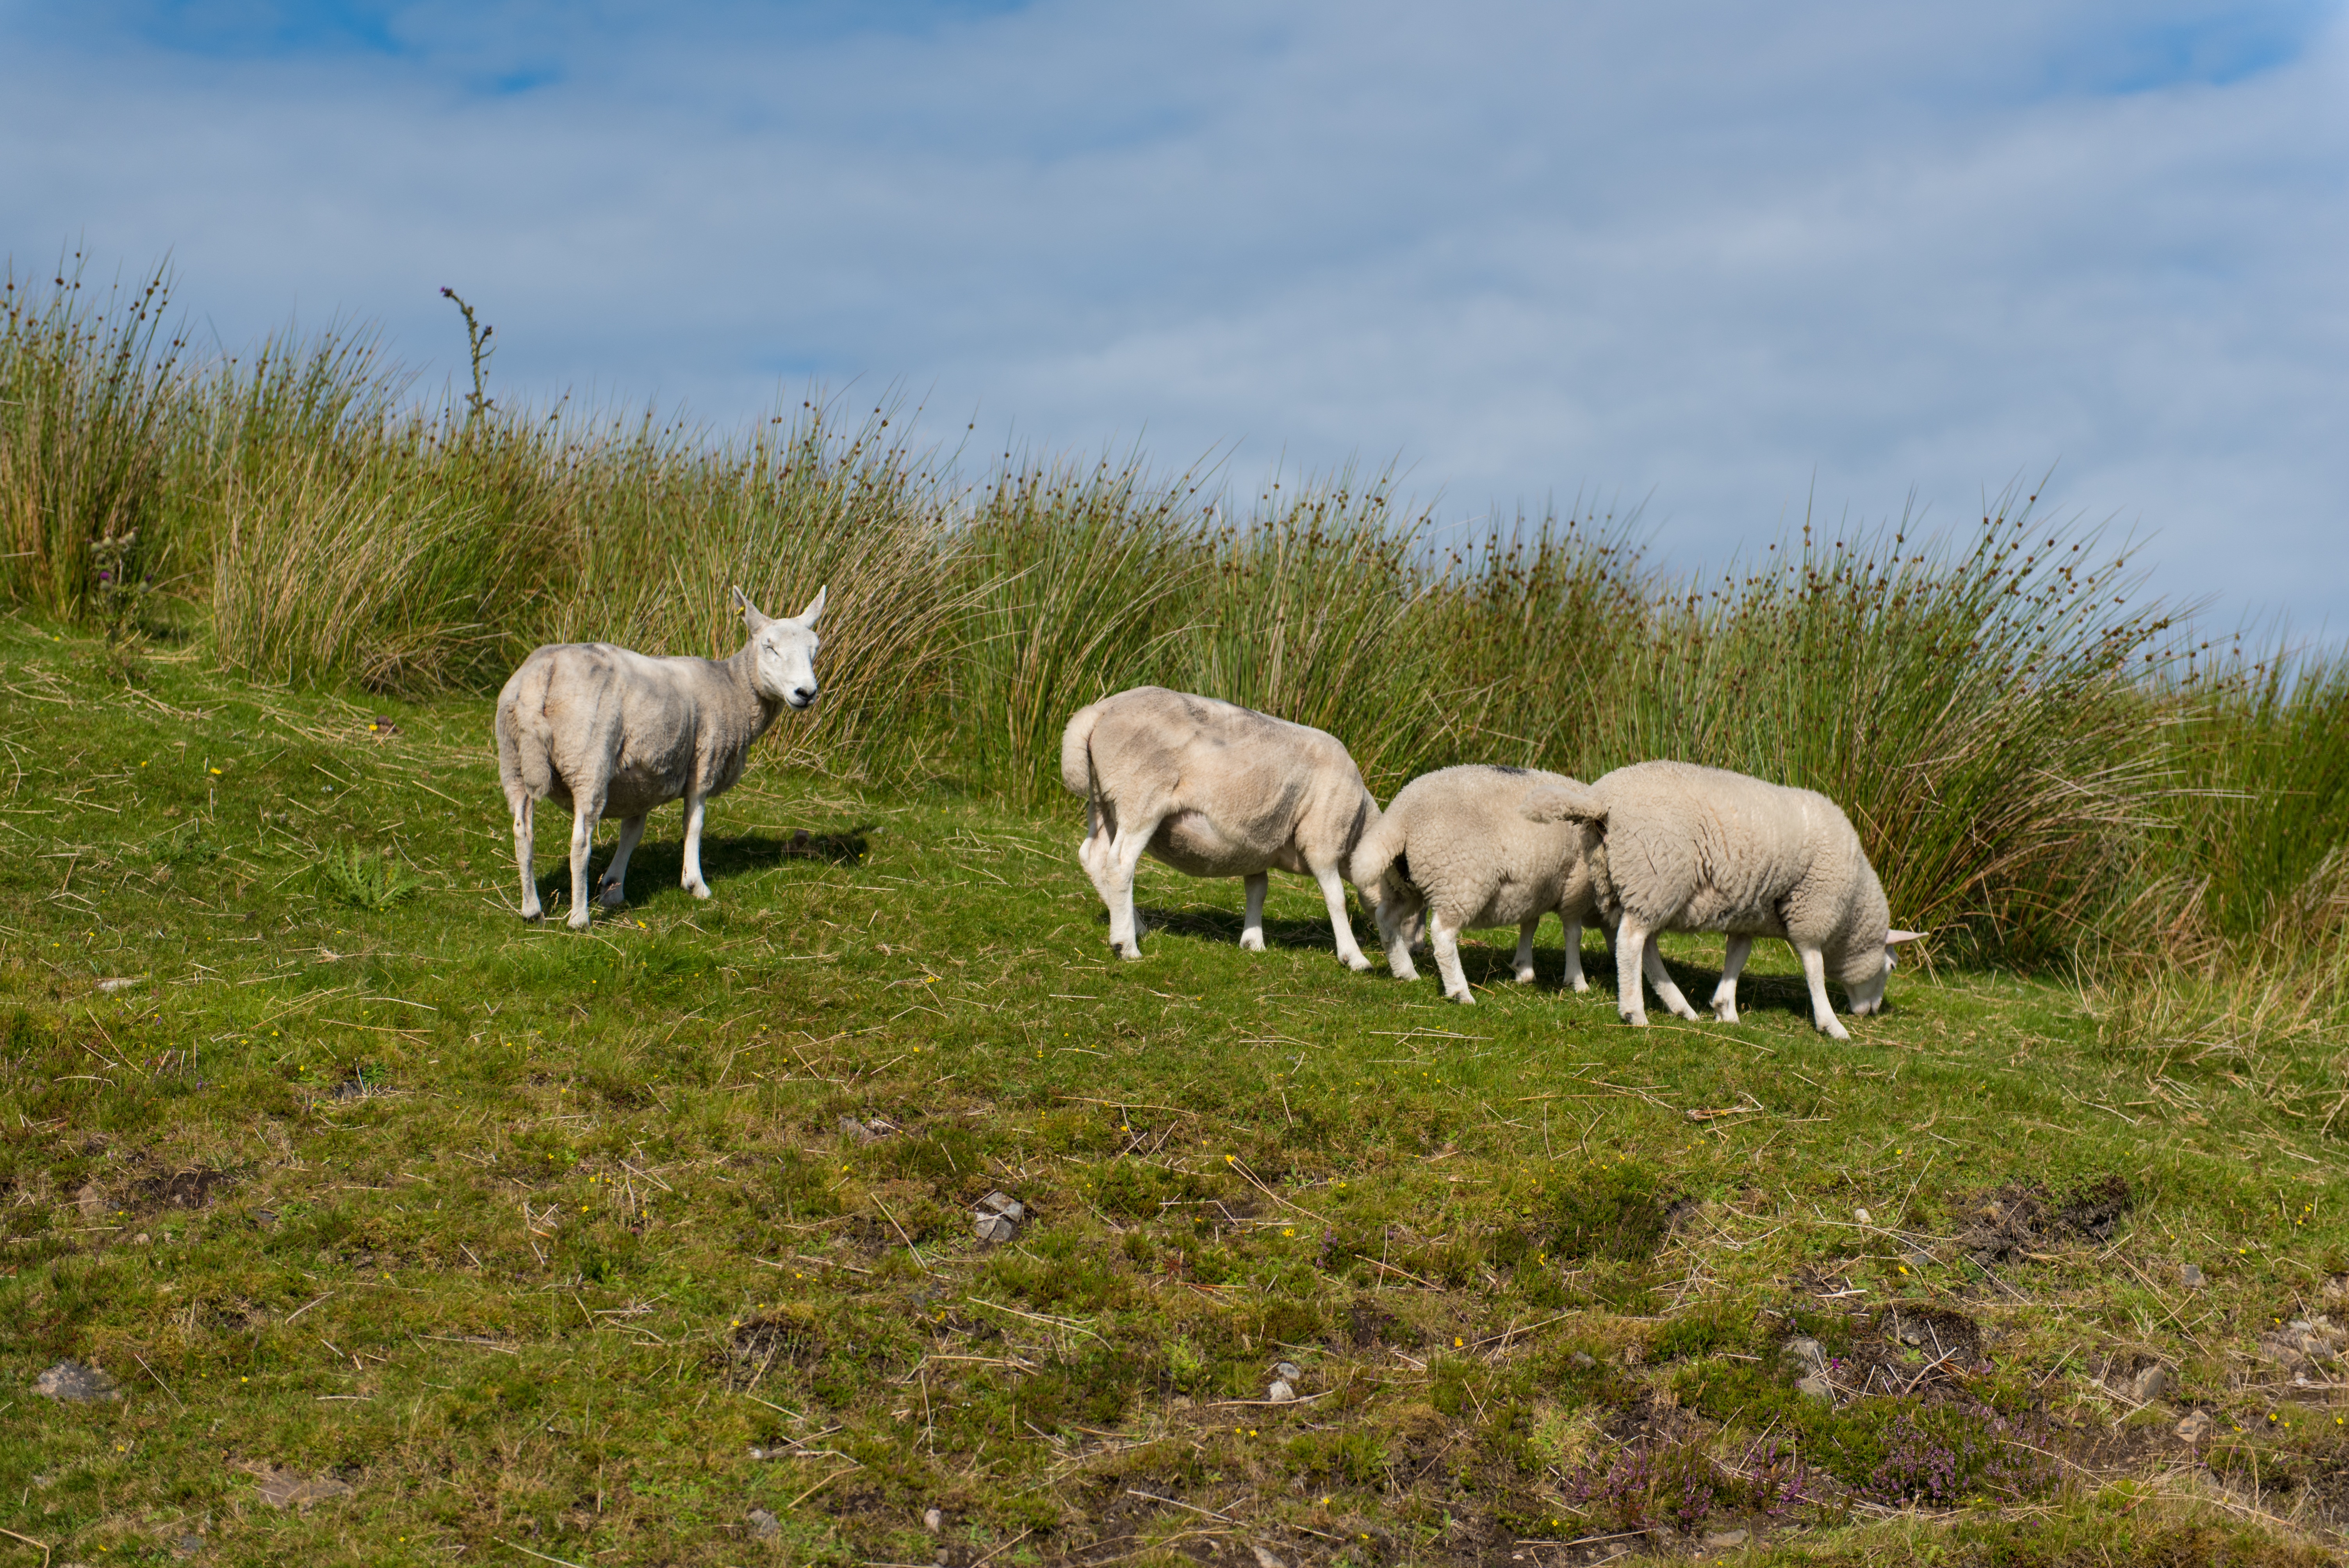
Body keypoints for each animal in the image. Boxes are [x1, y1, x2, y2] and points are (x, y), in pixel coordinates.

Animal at [493, 586, 827, 929]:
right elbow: (694, 825)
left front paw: (613, 889)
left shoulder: (640, 779)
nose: (807, 693)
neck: (735, 688)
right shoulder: (704, 763)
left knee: (522, 831)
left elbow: (632, 833)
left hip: (513, 761)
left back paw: (532, 909)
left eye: (815, 649)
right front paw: (695, 884)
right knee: (580, 842)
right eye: (769, 647)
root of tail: (541, 676)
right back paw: (579, 918)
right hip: (588, 759)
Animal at [1062, 690, 1381, 967]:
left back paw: (1135, 926)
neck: (1359, 830)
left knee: (1093, 856)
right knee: (1119, 864)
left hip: (1104, 799)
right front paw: (1355, 958)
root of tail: (1100, 709)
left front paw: (1253, 942)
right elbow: (1336, 897)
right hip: (1140, 796)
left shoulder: (1255, 847)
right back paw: (1126, 946)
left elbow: (1258, 890)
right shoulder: (1322, 838)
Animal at [1353, 760, 1606, 1005]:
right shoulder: (1575, 890)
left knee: (1386, 918)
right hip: (1459, 881)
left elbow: (1530, 924)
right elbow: (1573, 935)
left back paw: (1406, 972)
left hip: (1404, 883)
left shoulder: (1535, 887)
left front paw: (1524, 969)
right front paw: (1578, 981)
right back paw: (1460, 993)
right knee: (1443, 936)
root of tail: (1402, 815)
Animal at [1522, 760, 1926, 1042]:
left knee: (1646, 947)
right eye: (1892, 967)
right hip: (1656, 874)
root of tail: (1603, 799)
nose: (1871, 1012)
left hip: (1635, 883)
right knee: (1631, 942)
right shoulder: (1813, 908)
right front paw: (1831, 1024)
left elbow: (1737, 957)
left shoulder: (1750, 914)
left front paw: (1725, 1009)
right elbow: (1813, 966)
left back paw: (1680, 1007)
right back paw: (1635, 1012)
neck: (1853, 908)